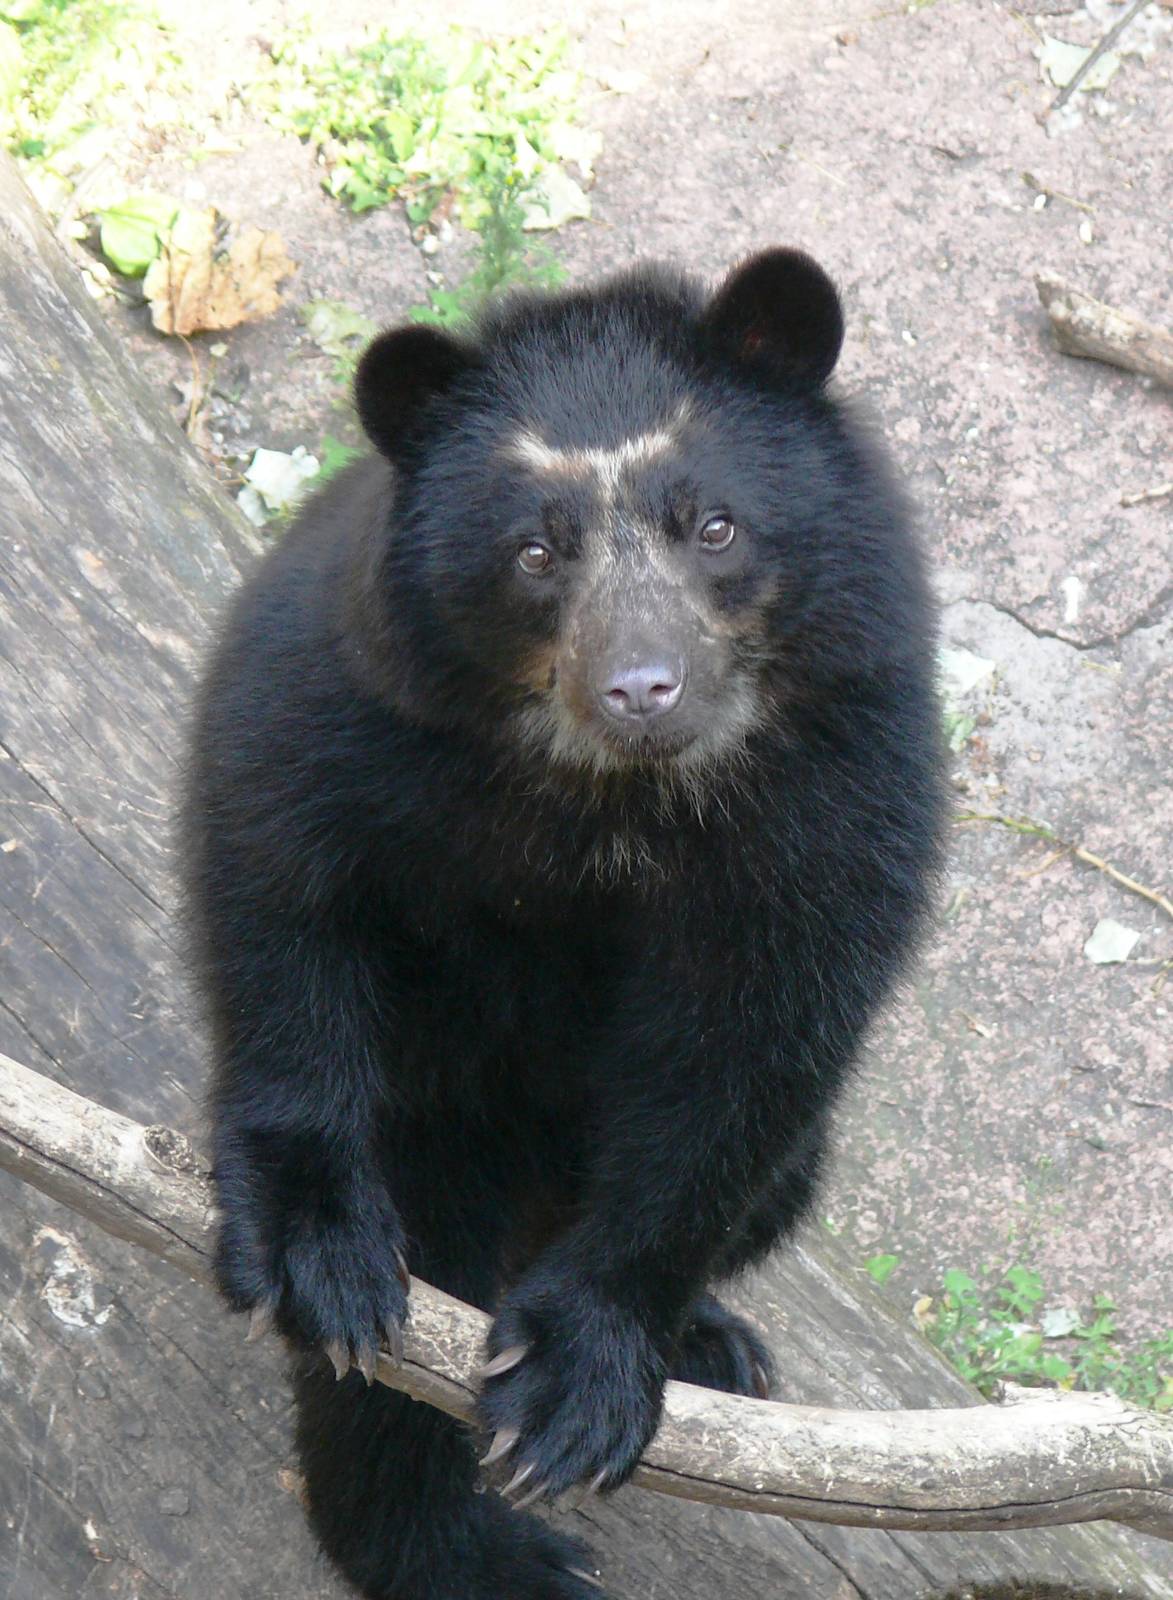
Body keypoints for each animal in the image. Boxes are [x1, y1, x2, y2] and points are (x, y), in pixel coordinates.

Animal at [183, 248, 944, 1599]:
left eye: (715, 525)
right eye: (537, 551)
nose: (642, 688)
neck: (614, 795)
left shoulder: (848, 771)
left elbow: (750, 1043)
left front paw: (575, 1385)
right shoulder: (353, 693)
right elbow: (278, 863)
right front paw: (319, 1252)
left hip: (784, 1169)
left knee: (772, 1178)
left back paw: (712, 1347)